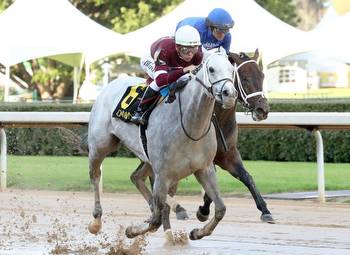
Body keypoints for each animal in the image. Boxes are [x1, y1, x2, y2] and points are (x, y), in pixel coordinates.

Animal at [87, 50, 238, 241]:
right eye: (211, 69)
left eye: (232, 70)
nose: (229, 94)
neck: (191, 125)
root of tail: (112, 83)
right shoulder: (163, 174)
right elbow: (155, 221)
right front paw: (131, 230)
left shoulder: (204, 168)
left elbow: (220, 209)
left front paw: (197, 232)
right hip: (100, 146)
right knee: (95, 176)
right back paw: (96, 222)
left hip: (147, 157)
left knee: (136, 177)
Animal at [130, 47, 274, 223]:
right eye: (244, 78)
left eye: (262, 76)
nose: (263, 110)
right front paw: (203, 210)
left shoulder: (228, 154)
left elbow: (247, 177)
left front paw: (265, 210)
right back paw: (174, 208)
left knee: (137, 176)